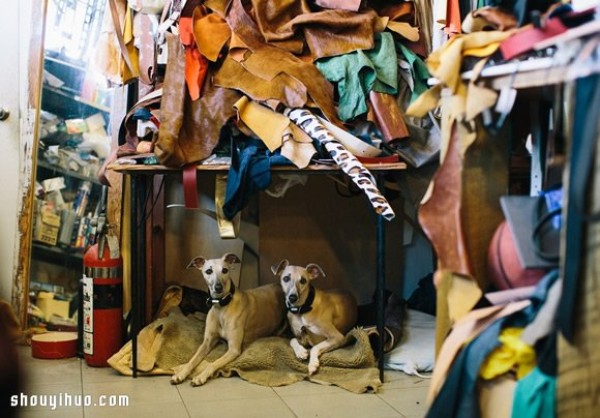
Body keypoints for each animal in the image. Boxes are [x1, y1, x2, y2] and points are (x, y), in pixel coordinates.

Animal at [171, 251, 286, 386]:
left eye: (225, 270)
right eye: (208, 271)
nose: (218, 287)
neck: (221, 308)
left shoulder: (233, 349)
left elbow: (212, 363)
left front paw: (200, 377)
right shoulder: (207, 342)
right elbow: (193, 359)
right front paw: (180, 374)